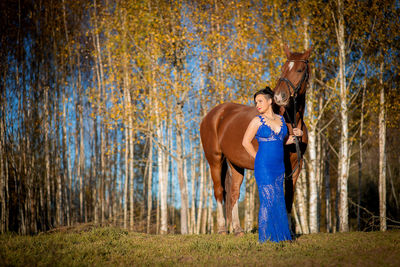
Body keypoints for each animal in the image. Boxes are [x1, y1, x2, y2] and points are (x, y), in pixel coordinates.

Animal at [200, 45, 312, 234]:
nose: (279, 97)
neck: (291, 121)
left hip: (235, 163)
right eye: (283, 68)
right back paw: (222, 228)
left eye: (299, 69)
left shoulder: (296, 167)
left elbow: (289, 196)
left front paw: (289, 230)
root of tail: (213, 114)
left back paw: (238, 229)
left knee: (234, 192)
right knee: (219, 191)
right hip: (215, 159)